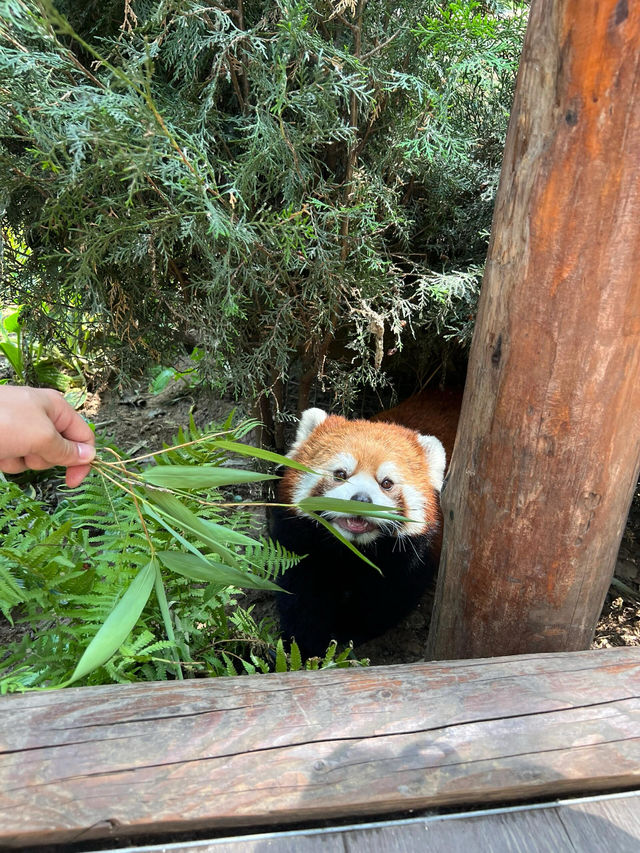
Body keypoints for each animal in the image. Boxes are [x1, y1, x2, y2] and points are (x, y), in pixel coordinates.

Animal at [268, 402, 450, 660]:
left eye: (386, 483)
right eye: (340, 474)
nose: (361, 499)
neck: (352, 549)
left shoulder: (410, 559)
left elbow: (384, 600)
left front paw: (346, 630)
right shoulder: (301, 542)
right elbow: (301, 594)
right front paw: (303, 645)